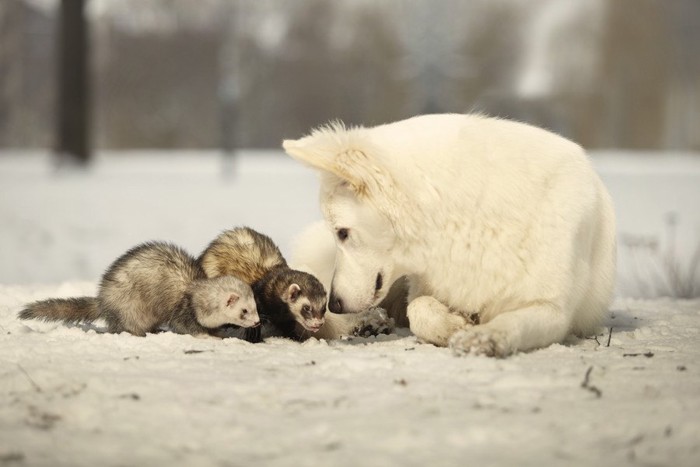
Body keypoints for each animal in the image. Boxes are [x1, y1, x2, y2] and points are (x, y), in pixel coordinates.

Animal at [282, 115, 616, 356]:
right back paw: (365, 322)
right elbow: (419, 309)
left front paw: (484, 336)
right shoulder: (423, 286)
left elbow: (511, 321)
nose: (335, 304)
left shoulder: (554, 310)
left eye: (342, 232)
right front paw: (454, 326)